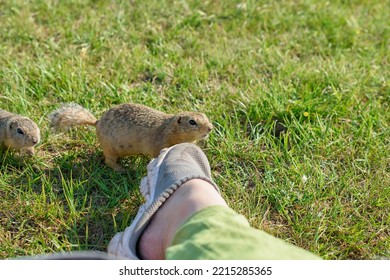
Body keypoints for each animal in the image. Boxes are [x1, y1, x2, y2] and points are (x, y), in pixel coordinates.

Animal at [49, 103, 213, 172]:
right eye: (192, 122)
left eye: (205, 115)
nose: (211, 128)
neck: (169, 128)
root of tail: (96, 122)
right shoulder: (159, 144)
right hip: (110, 149)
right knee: (109, 161)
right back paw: (122, 169)